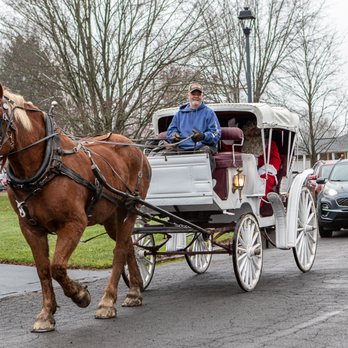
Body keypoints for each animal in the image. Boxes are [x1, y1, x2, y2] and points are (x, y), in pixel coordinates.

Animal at [0, 83, 152, 332]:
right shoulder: (30, 228)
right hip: (112, 216)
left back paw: (107, 301)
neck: (48, 165)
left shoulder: (74, 223)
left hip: (130, 208)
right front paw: (46, 314)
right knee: (128, 244)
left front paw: (80, 295)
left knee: (120, 249)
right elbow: (43, 269)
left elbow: (58, 266)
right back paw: (134, 291)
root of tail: (133, 146)